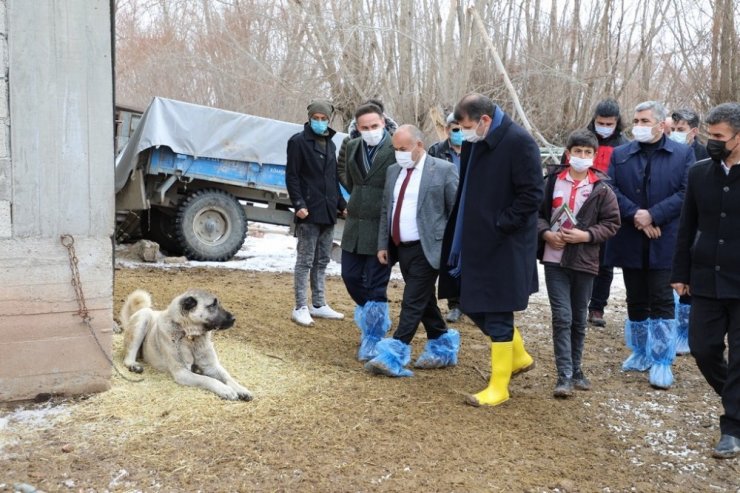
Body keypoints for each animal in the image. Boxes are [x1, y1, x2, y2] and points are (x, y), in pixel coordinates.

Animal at [118, 288, 251, 400]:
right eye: (212, 305)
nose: (234, 318)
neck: (190, 336)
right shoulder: (182, 372)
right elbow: (207, 379)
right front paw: (225, 389)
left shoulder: (212, 366)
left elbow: (227, 377)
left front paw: (241, 389)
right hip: (143, 318)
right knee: (128, 357)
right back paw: (134, 366)